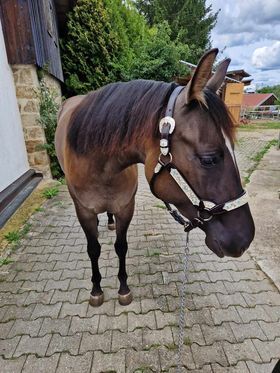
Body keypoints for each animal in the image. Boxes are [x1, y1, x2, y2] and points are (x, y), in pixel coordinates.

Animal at [54, 48, 254, 306]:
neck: (100, 167)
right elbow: (93, 249)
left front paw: (123, 287)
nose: (244, 239)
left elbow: (121, 246)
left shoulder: (125, 207)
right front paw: (96, 289)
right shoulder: (84, 212)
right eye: (208, 159)